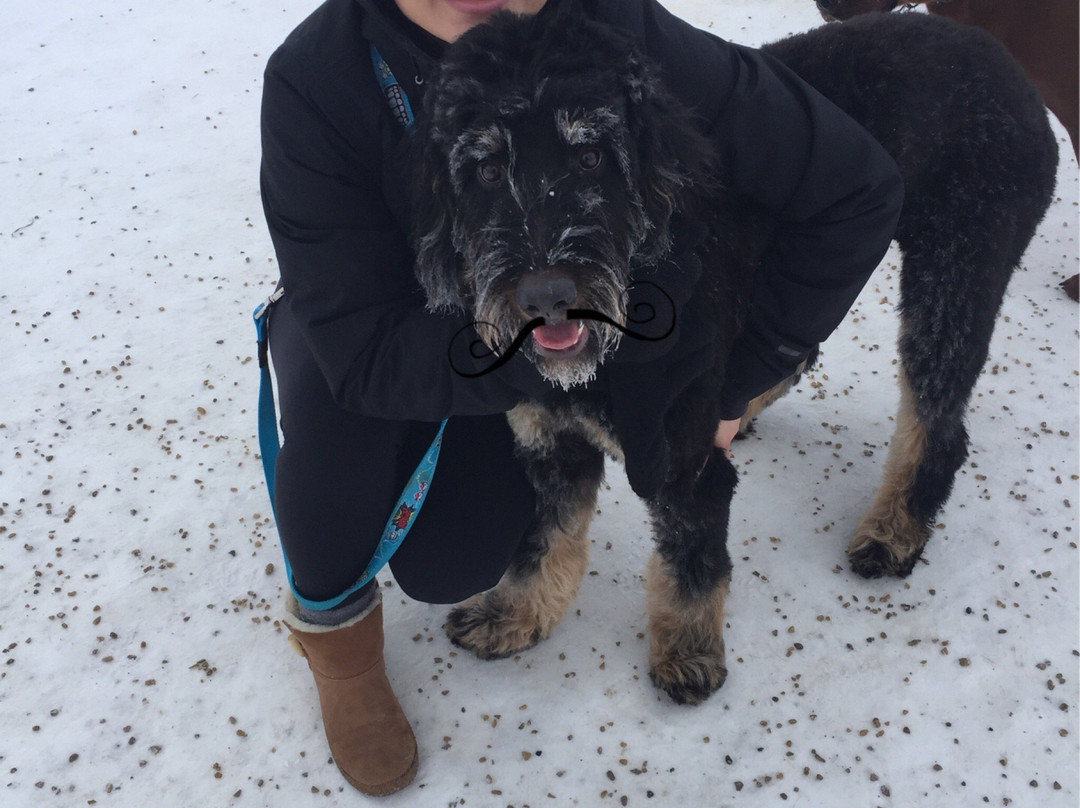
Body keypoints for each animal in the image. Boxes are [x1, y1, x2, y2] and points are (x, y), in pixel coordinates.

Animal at [410, 9, 1054, 704]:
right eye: (485, 170)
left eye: (590, 156)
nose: (545, 294)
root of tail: (999, 58)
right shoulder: (550, 444)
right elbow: (542, 542)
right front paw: (515, 615)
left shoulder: (686, 472)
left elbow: (692, 562)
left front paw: (688, 653)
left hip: (954, 274)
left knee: (938, 421)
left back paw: (893, 532)